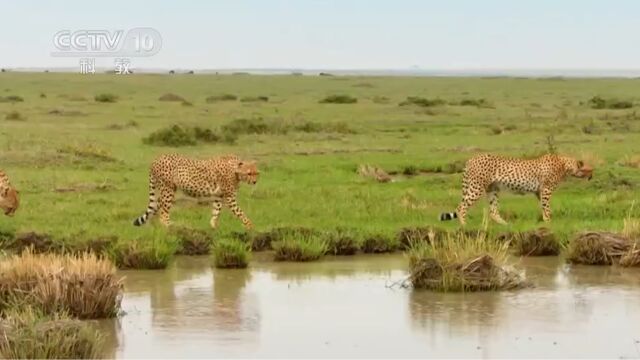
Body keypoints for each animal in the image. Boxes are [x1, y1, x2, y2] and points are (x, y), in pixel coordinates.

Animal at [440, 154, 596, 225]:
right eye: (589, 169)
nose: (592, 176)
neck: (565, 165)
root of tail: (471, 159)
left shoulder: (539, 191)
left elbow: (544, 206)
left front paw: (546, 220)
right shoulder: (546, 190)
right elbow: (546, 207)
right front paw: (549, 222)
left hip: (493, 190)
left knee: (493, 211)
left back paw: (505, 225)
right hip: (476, 187)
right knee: (461, 207)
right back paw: (464, 224)